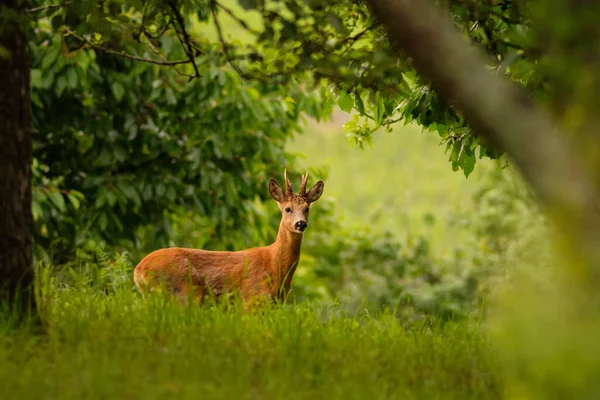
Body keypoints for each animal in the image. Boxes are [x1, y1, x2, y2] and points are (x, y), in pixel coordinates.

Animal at [134, 170, 326, 308]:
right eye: (287, 209)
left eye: (307, 208)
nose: (300, 224)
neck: (275, 265)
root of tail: (138, 271)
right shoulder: (251, 298)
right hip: (184, 292)